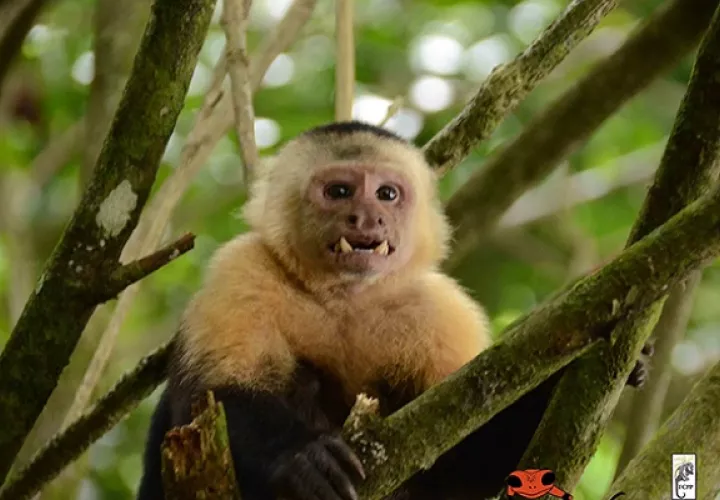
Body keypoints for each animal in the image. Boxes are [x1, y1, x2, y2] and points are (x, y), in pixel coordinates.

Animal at [137, 121, 650, 500]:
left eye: (386, 194)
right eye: (340, 191)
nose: (367, 217)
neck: (346, 297)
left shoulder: (442, 311)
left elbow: (460, 458)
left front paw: (603, 367)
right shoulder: (241, 270)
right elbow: (209, 395)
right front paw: (300, 458)